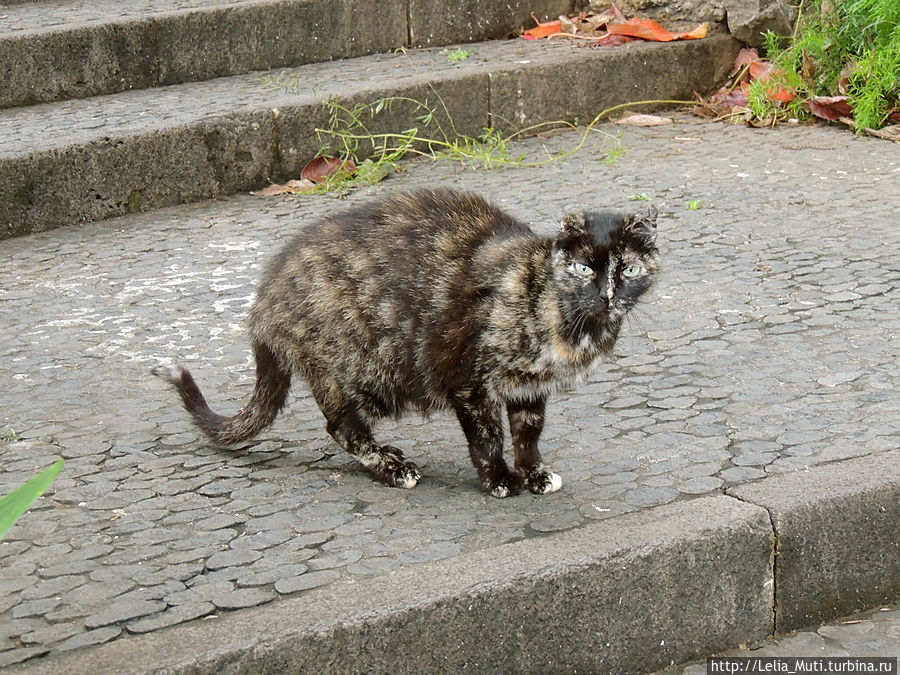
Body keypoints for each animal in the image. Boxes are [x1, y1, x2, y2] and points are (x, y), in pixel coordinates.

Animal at [153, 189, 660, 496]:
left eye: (630, 269)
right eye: (583, 268)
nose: (607, 295)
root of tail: (266, 298)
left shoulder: (529, 387)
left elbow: (527, 434)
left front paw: (533, 473)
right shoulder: (467, 381)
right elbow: (489, 436)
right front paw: (499, 479)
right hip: (366, 369)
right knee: (340, 426)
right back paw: (392, 467)